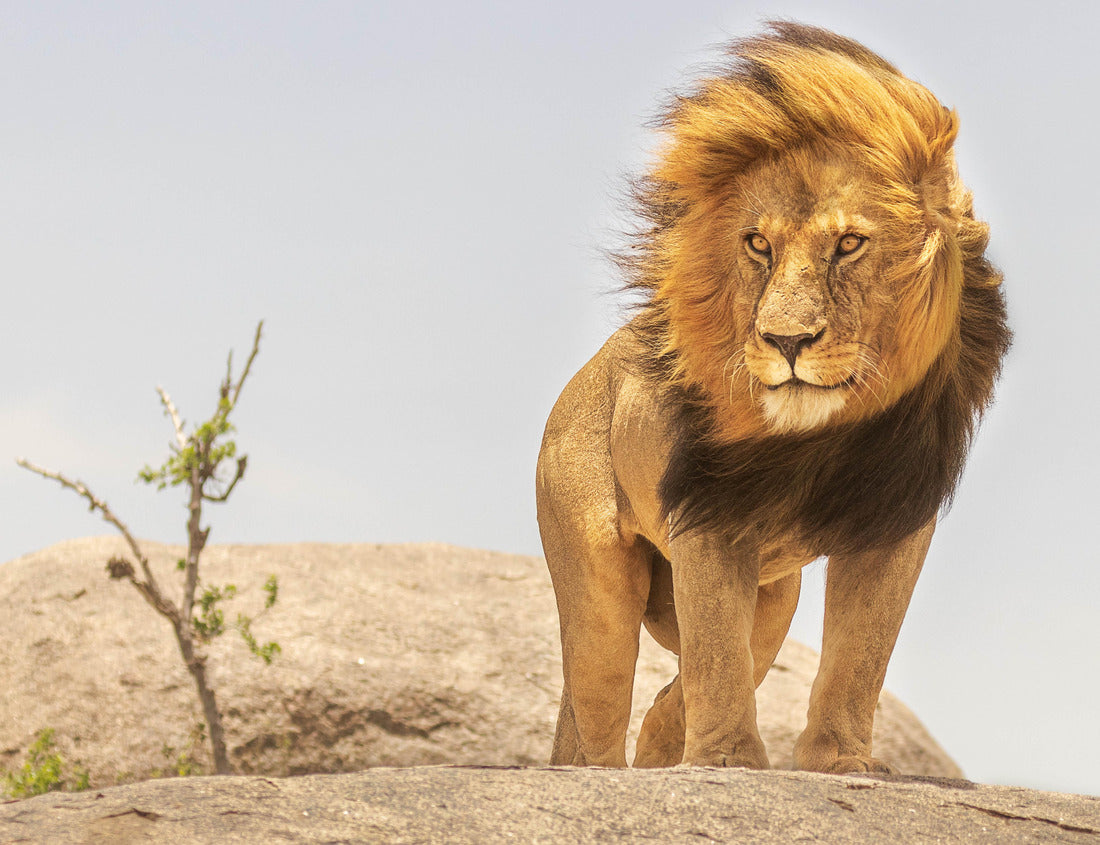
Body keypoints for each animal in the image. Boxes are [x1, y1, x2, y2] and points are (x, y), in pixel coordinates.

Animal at [536, 21, 1009, 774]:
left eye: (850, 243)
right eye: (757, 243)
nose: (786, 340)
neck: (825, 435)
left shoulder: (897, 516)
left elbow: (859, 653)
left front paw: (838, 762)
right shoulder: (710, 511)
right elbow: (717, 649)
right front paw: (728, 762)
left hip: (776, 594)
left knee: (687, 688)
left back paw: (666, 747)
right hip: (598, 583)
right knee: (597, 704)